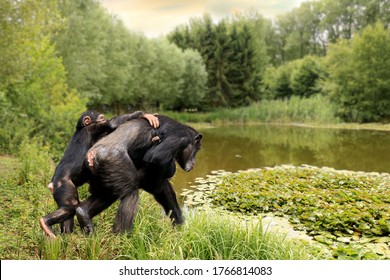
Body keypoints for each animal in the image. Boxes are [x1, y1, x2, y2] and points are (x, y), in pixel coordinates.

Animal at [76, 114, 204, 234]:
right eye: (197, 150)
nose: (194, 163)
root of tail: (91, 156)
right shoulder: (181, 138)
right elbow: (156, 156)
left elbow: (162, 186)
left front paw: (179, 224)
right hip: (113, 160)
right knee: (131, 192)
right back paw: (122, 235)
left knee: (107, 192)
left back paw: (83, 213)